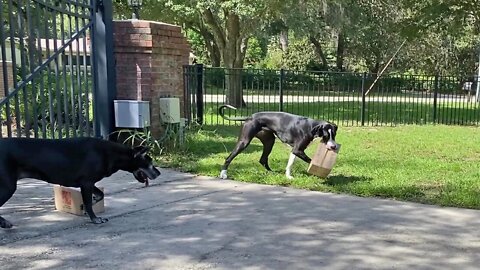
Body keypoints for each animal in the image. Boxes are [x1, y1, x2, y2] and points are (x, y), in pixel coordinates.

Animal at [0, 137, 161, 228]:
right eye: (149, 162)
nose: (159, 173)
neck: (111, 154)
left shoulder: (88, 183)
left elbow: (99, 195)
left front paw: (85, 206)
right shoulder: (87, 183)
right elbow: (90, 203)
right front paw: (95, 219)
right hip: (7, 186)